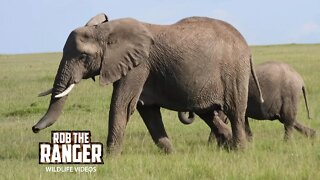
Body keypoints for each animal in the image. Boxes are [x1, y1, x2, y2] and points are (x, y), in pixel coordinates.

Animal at [31, 12, 262, 155]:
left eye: (82, 57)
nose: (34, 129)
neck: (106, 31)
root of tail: (247, 47)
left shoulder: (138, 66)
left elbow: (122, 106)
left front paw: (110, 159)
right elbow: (147, 111)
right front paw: (172, 155)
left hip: (234, 72)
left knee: (235, 112)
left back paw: (240, 151)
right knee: (208, 114)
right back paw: (228, 146)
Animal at [179, 61, 316, 141]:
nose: (188, 112)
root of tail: (301, 81)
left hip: (289, 94)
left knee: (287, 121)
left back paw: (287, 143)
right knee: (287, 119)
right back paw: (313, 135)